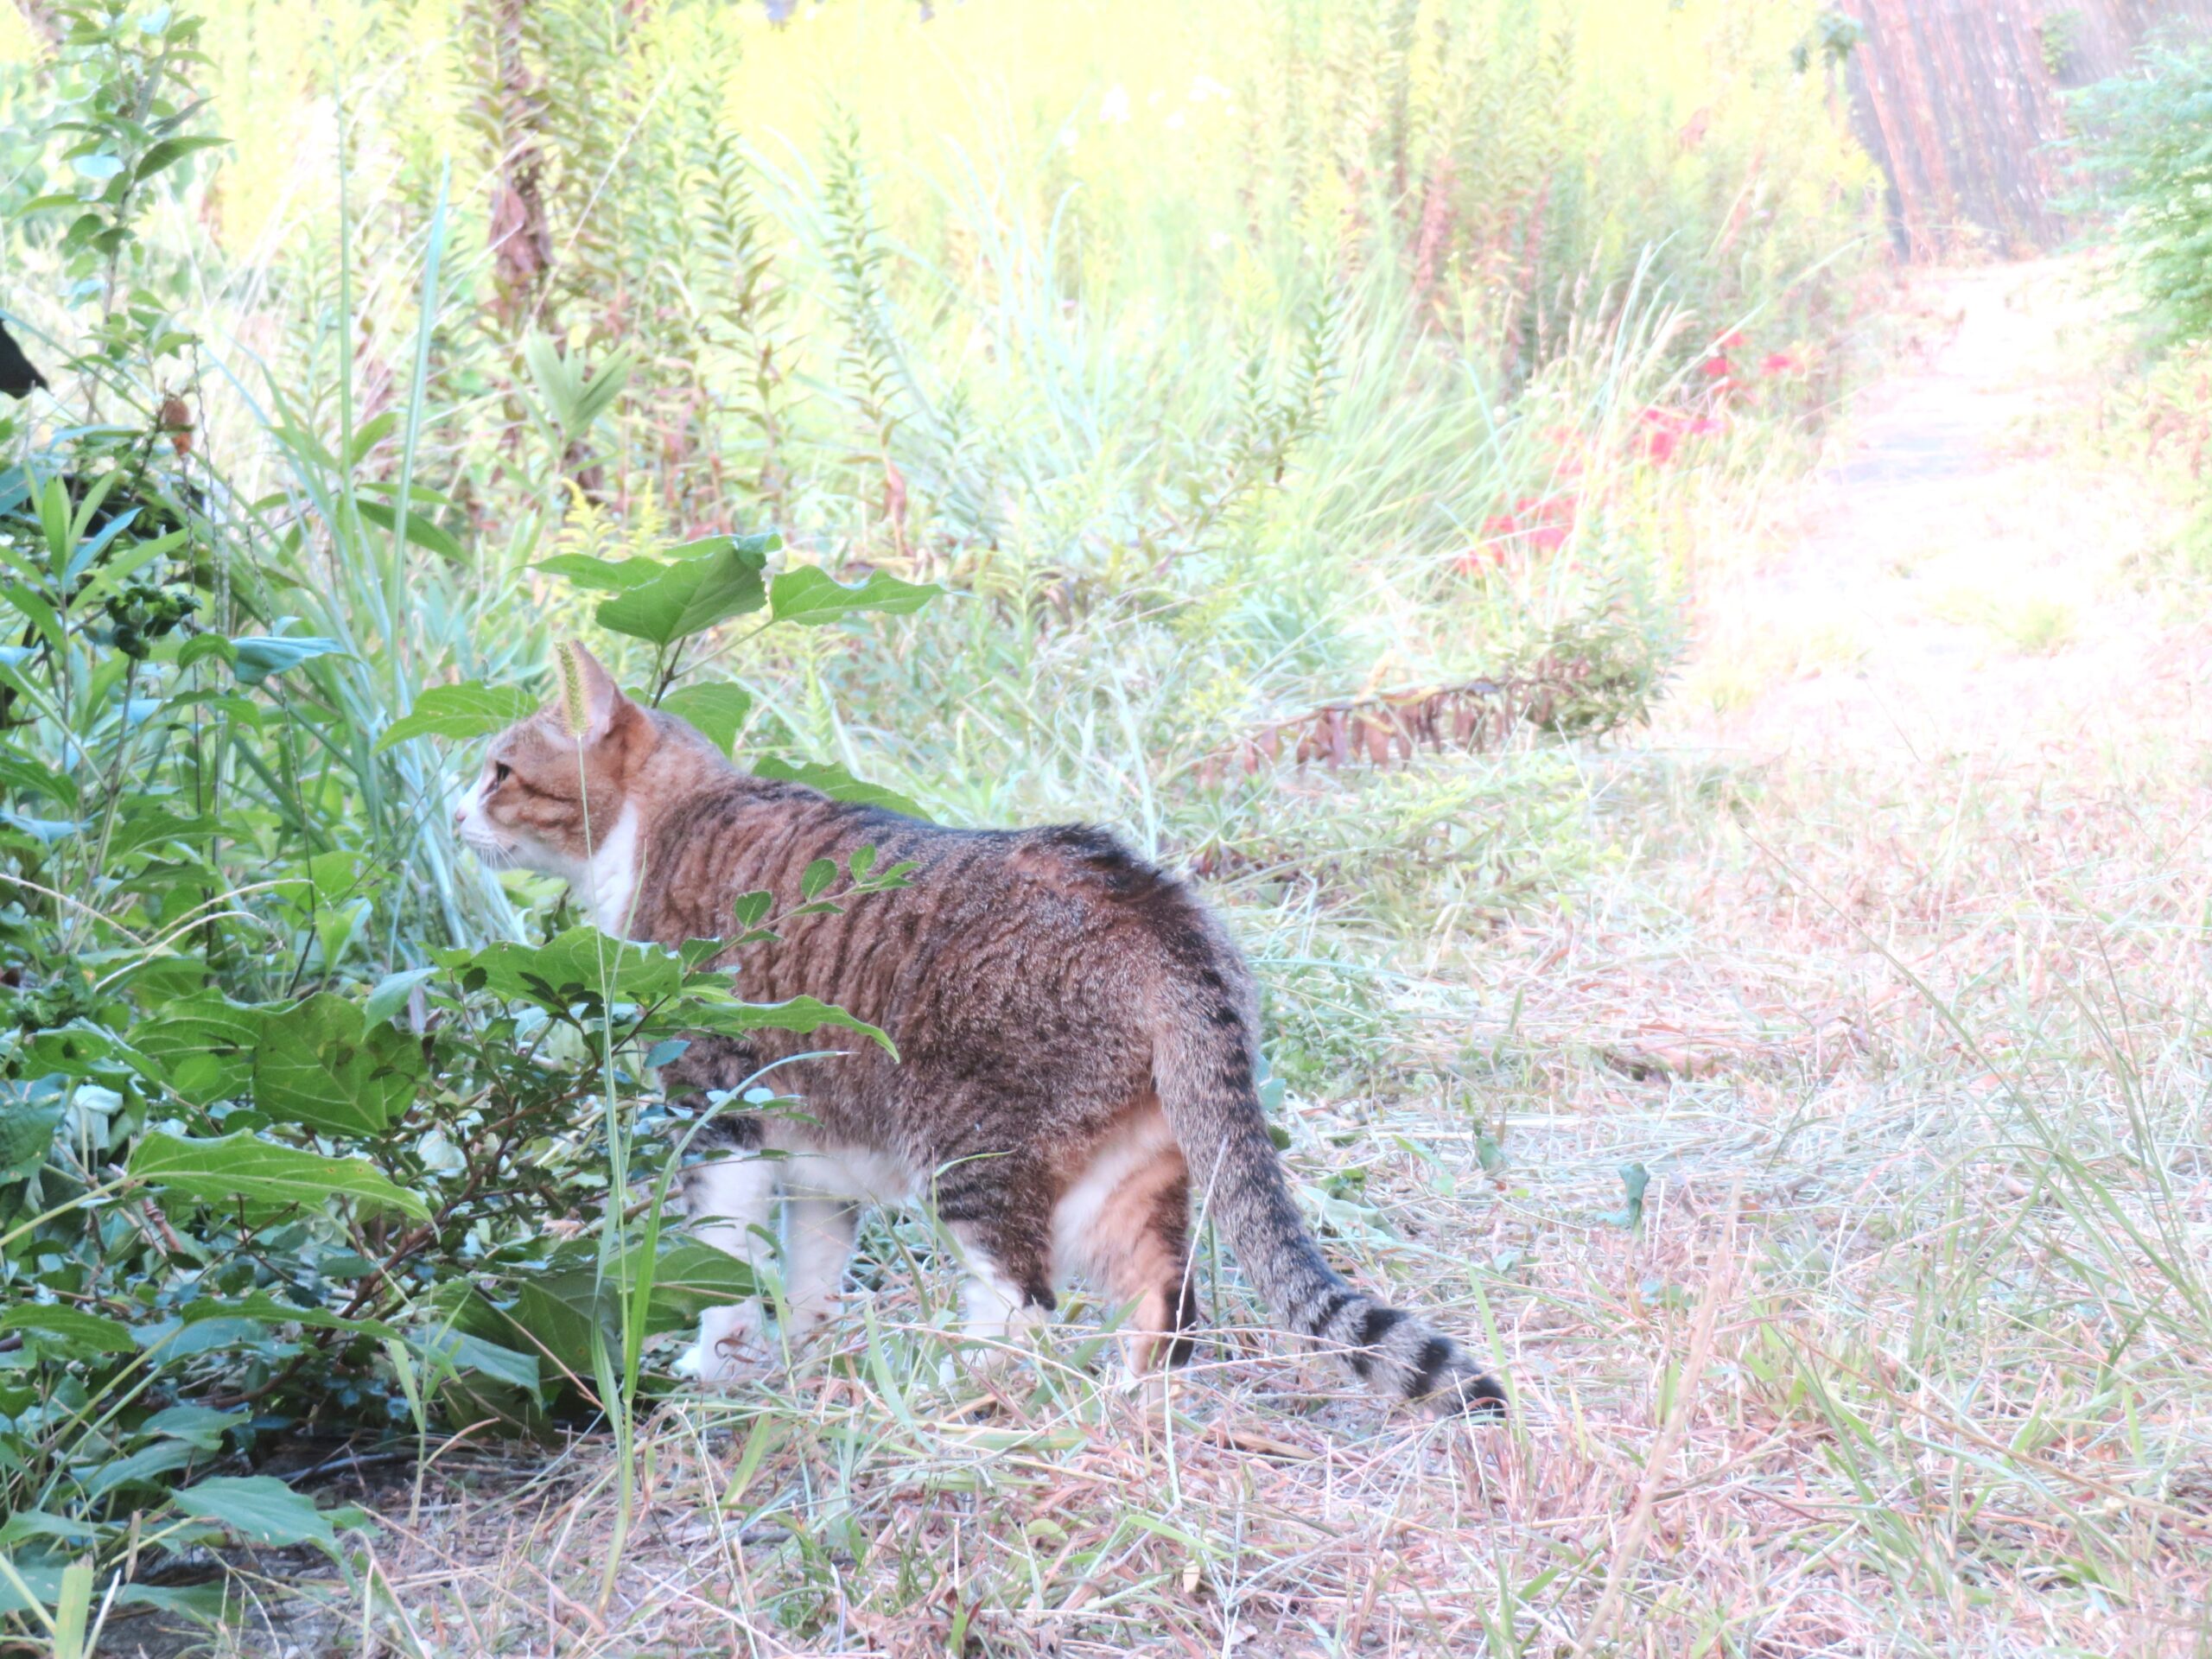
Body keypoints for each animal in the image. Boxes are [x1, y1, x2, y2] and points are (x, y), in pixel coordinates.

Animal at [460, 645, 1513, 1415]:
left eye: (500, 770)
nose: (452, 811)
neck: (669, 818)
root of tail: (1158, 906)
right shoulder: (816, 1159)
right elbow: (808, 1275)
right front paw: (790, 1365)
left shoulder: (718, 1112)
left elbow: (719, 1260)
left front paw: (714, 1364)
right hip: (1127, 1174)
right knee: (1168, 1308)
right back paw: (1124, 1410)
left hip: (972, 1150)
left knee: (1026, 1308)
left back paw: (947, 1388)